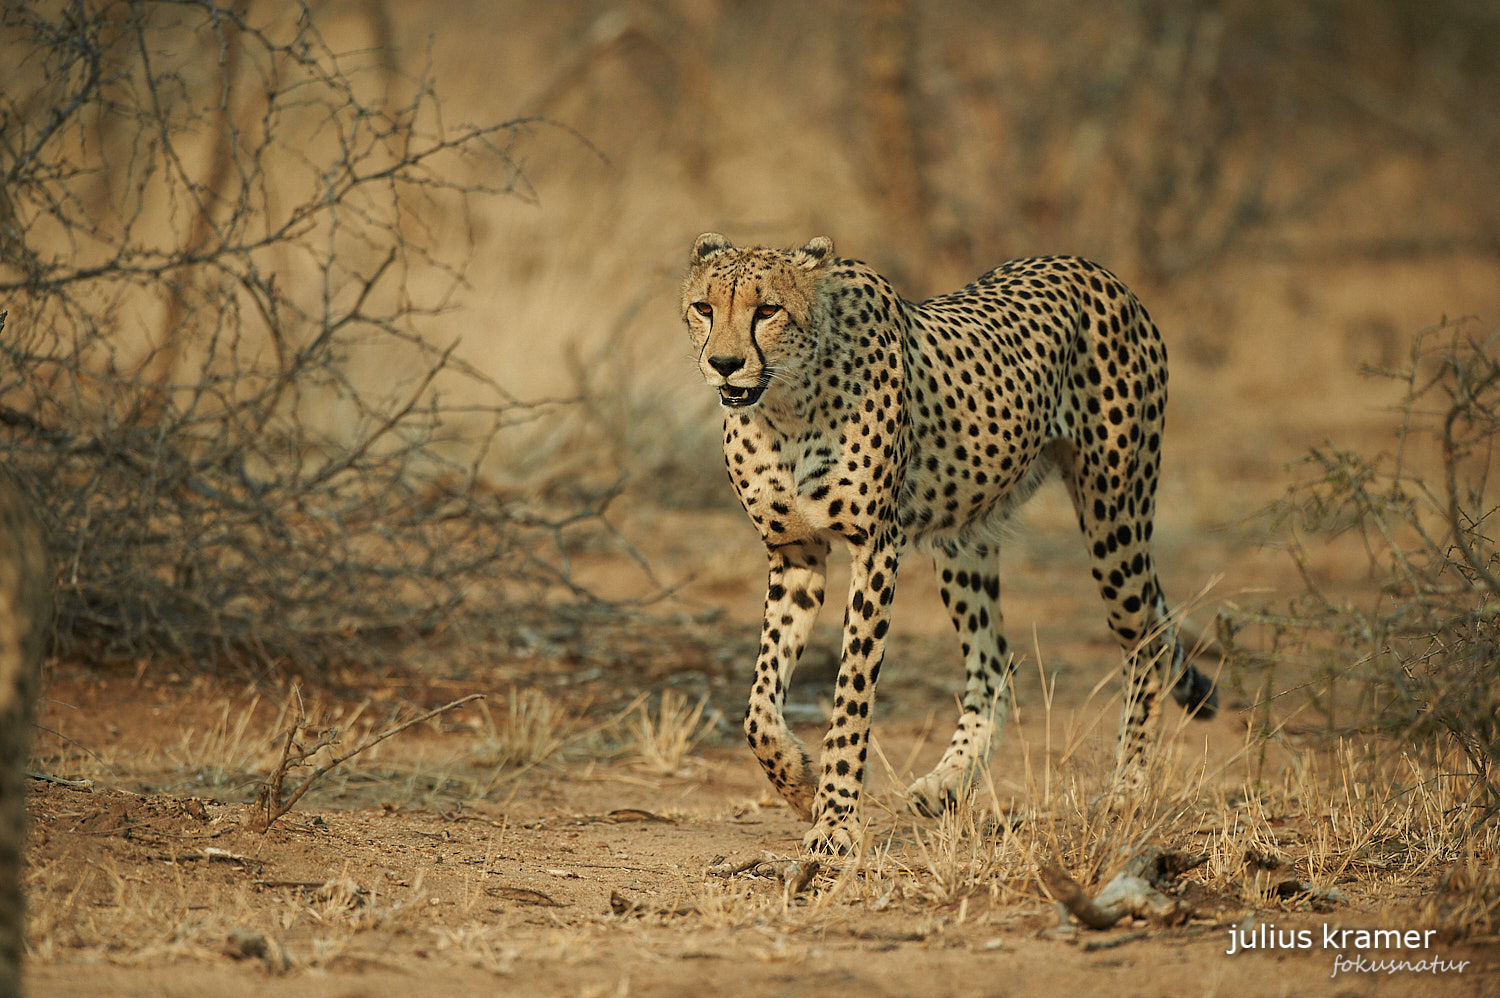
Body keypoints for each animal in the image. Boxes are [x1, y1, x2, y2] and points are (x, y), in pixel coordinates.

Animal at [681, 231, 1218, 846]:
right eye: (704, 308)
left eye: (767, 310)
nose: (724, 365)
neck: (785, 406)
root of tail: (1097, 270)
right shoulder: (796, 553)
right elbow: (757, 707)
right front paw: (799, 784)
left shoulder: (876, 548)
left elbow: (852, 695)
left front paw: (835, 823)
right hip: (964, 539)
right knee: (995, 664)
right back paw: (948, 782)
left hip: (1116, 517)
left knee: (1147, 646)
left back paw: (1126, 792)